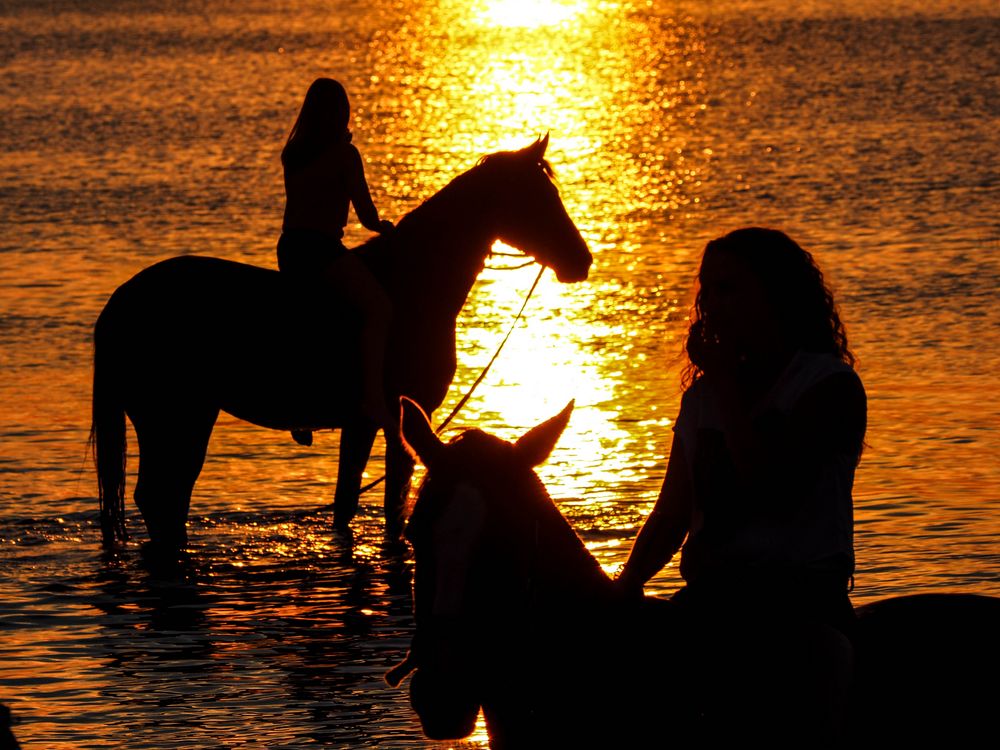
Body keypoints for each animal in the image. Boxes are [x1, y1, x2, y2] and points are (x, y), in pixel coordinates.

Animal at [90, 140, 588, 552]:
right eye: (538, 197)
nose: (581, 261)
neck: (413, 285)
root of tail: (120, 303)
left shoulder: (367, 424)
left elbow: (350, 503)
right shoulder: (396, 420)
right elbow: (386, 506)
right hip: (176, 420)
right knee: (161, 497)